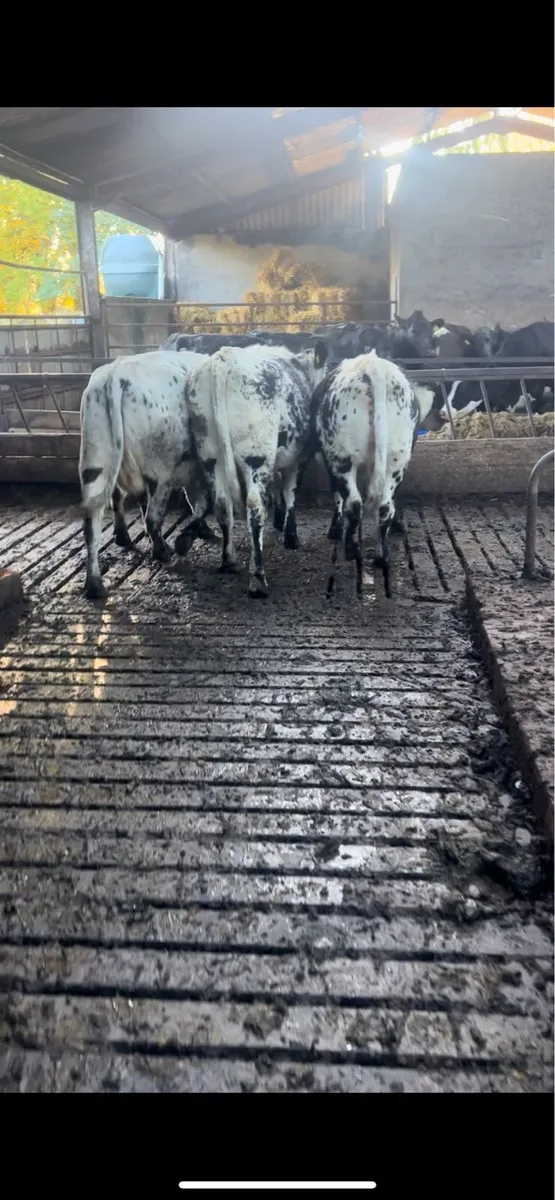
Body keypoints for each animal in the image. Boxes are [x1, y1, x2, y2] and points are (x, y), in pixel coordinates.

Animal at [79, 349, 213, 600]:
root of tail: (114, 375)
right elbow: (203, 503)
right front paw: (191, 536)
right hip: (160, 473)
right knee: (152, 516)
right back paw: (162, 552)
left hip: (95, 463)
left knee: (93, 522)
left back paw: (96, 584)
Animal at [174, 341, 328, 597]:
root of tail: (223, 359)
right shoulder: (299, 458)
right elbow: (290, 493)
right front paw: (291, 536)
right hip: (256, 455)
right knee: (254, 508)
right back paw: (257, 577)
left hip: (210, 456)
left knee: (222, 504)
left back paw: (228, 560)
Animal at [312, 349, 435, 599]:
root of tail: (373, 366)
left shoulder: (329, 462)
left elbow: (336, 496)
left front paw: (334, 529)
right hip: (397, 457)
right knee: (385, 506)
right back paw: (382, 557)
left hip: (342, 456)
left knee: (354, 503)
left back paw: (352, 550)